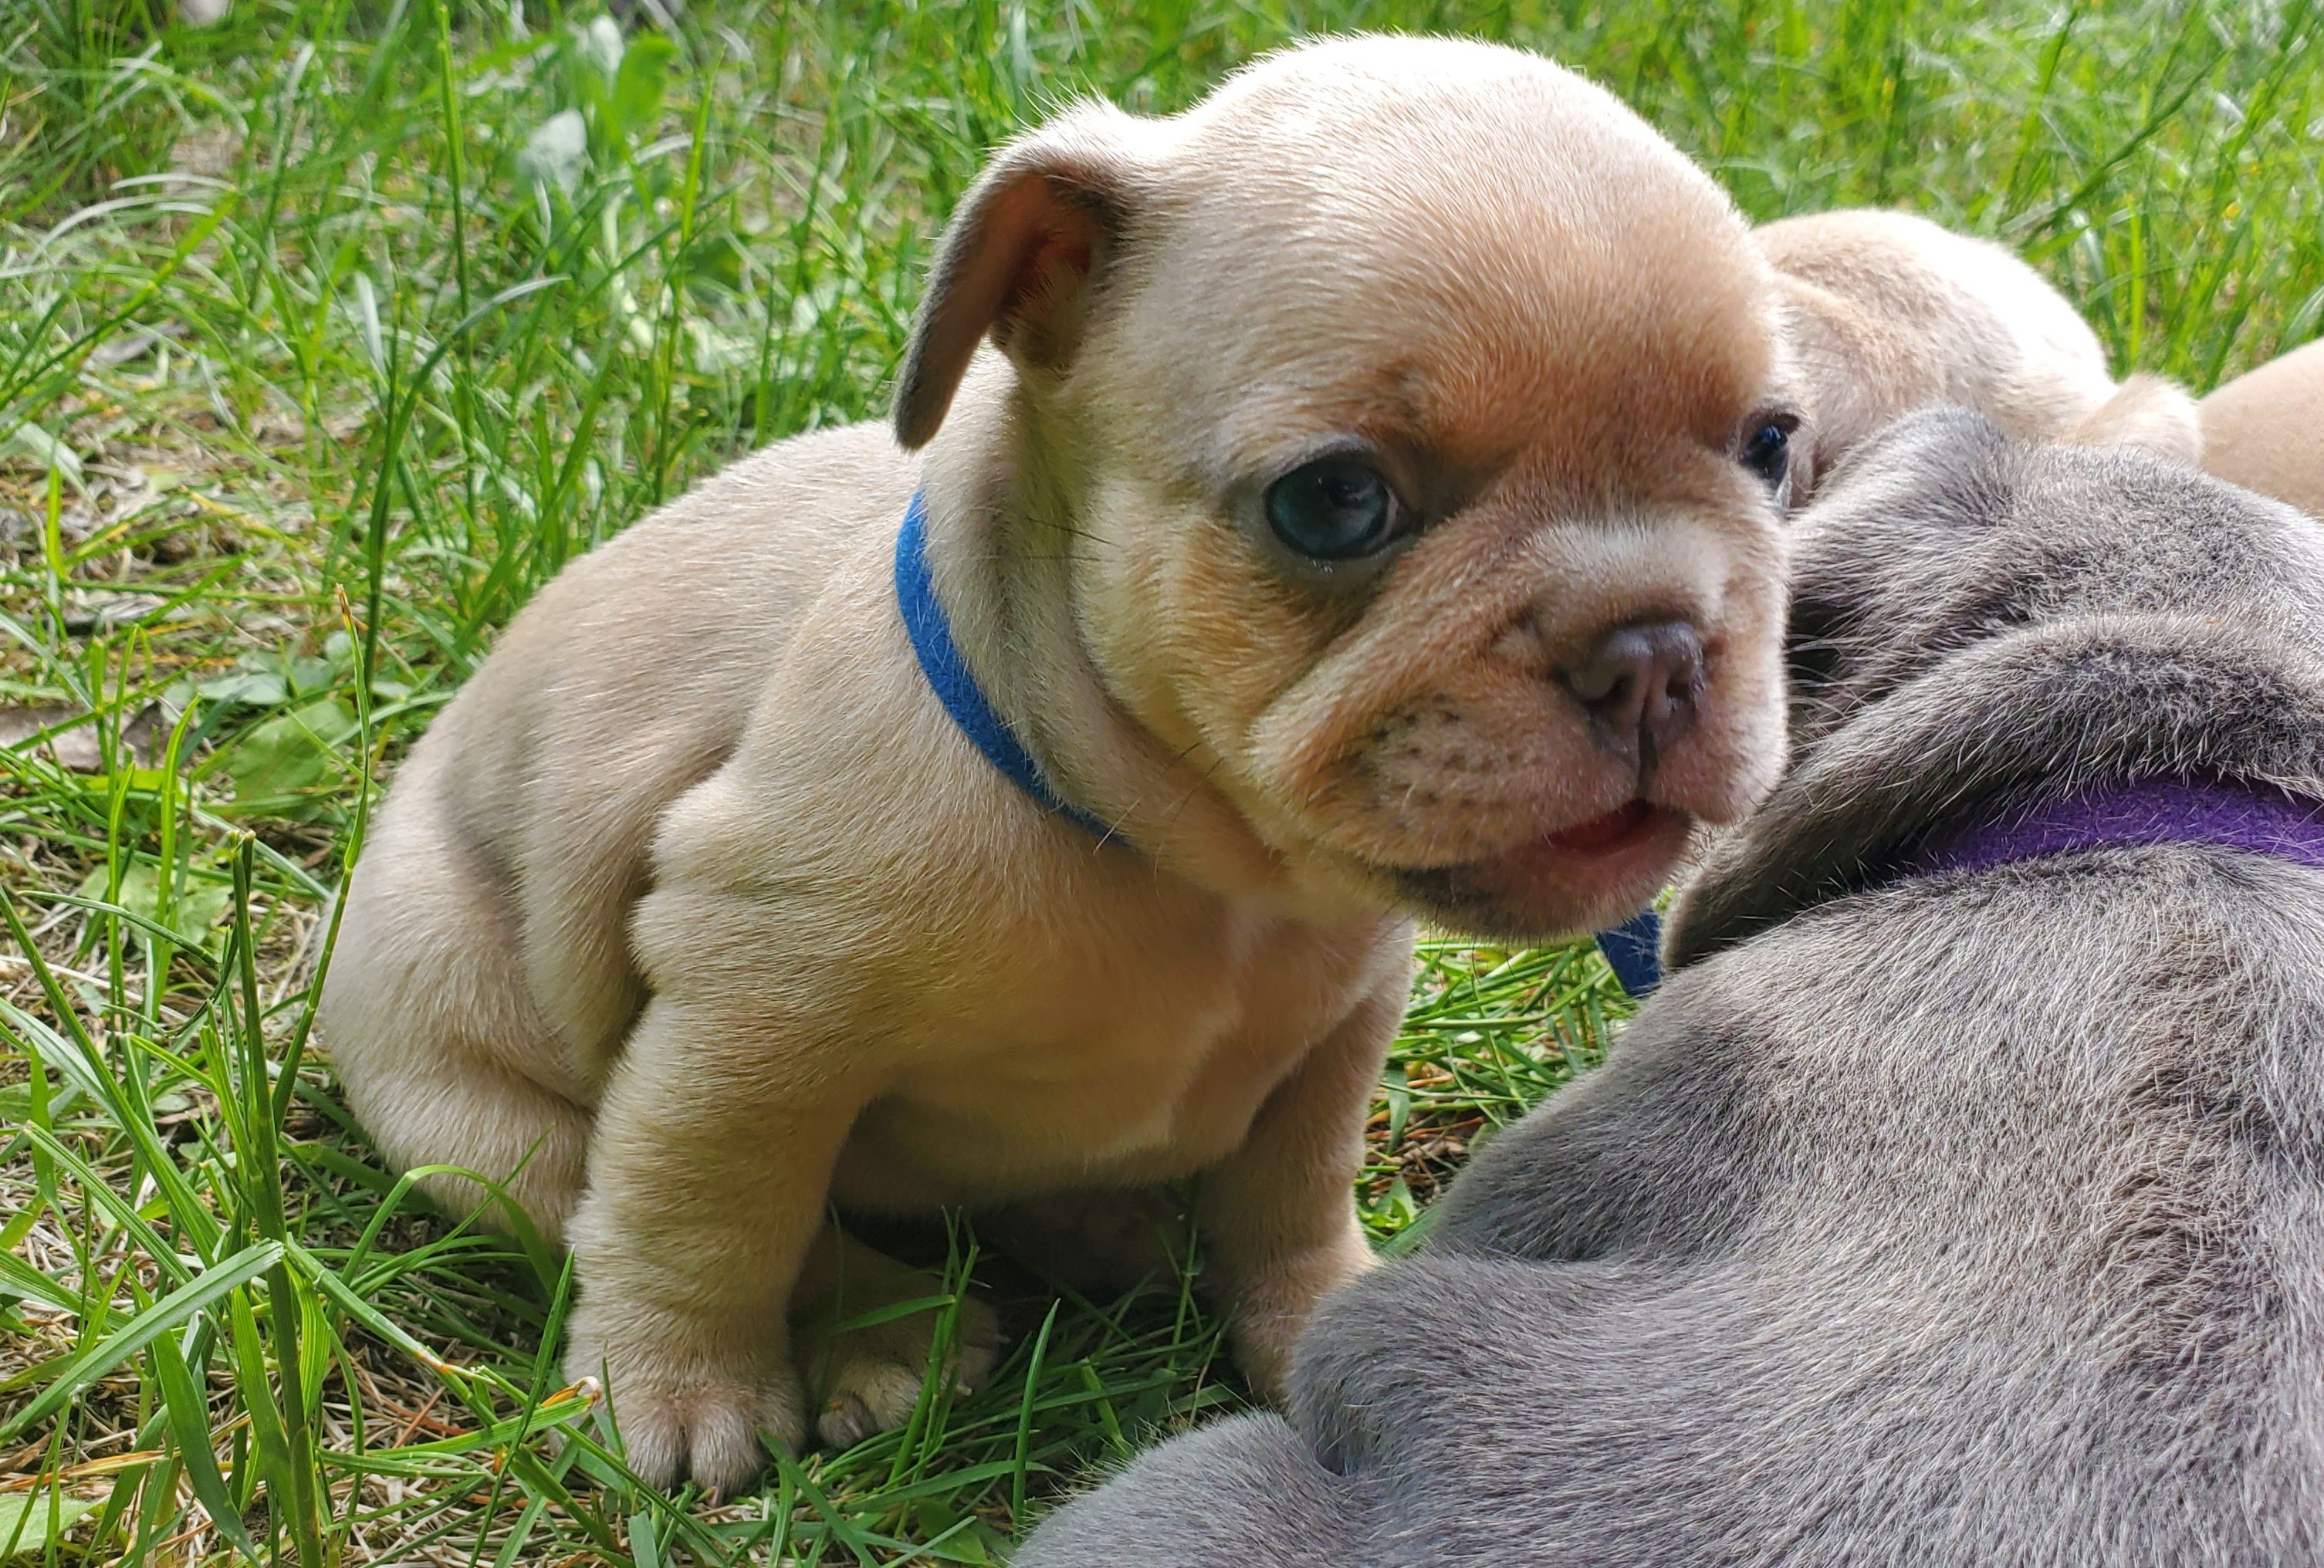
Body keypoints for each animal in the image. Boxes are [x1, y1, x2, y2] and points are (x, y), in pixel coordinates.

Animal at [313, 36, 1794, 1495]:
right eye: (1332, 501)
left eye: (1773, 446)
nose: (1653, 646)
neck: (1203, 873)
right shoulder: (753, 1013)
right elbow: (705, 1207)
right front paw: (675, 1388)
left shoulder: (1340, 1025)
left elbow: (1291, 1191)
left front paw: (1318, 1315)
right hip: (465, 1092)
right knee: (610, 1188)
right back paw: (896, 1330)